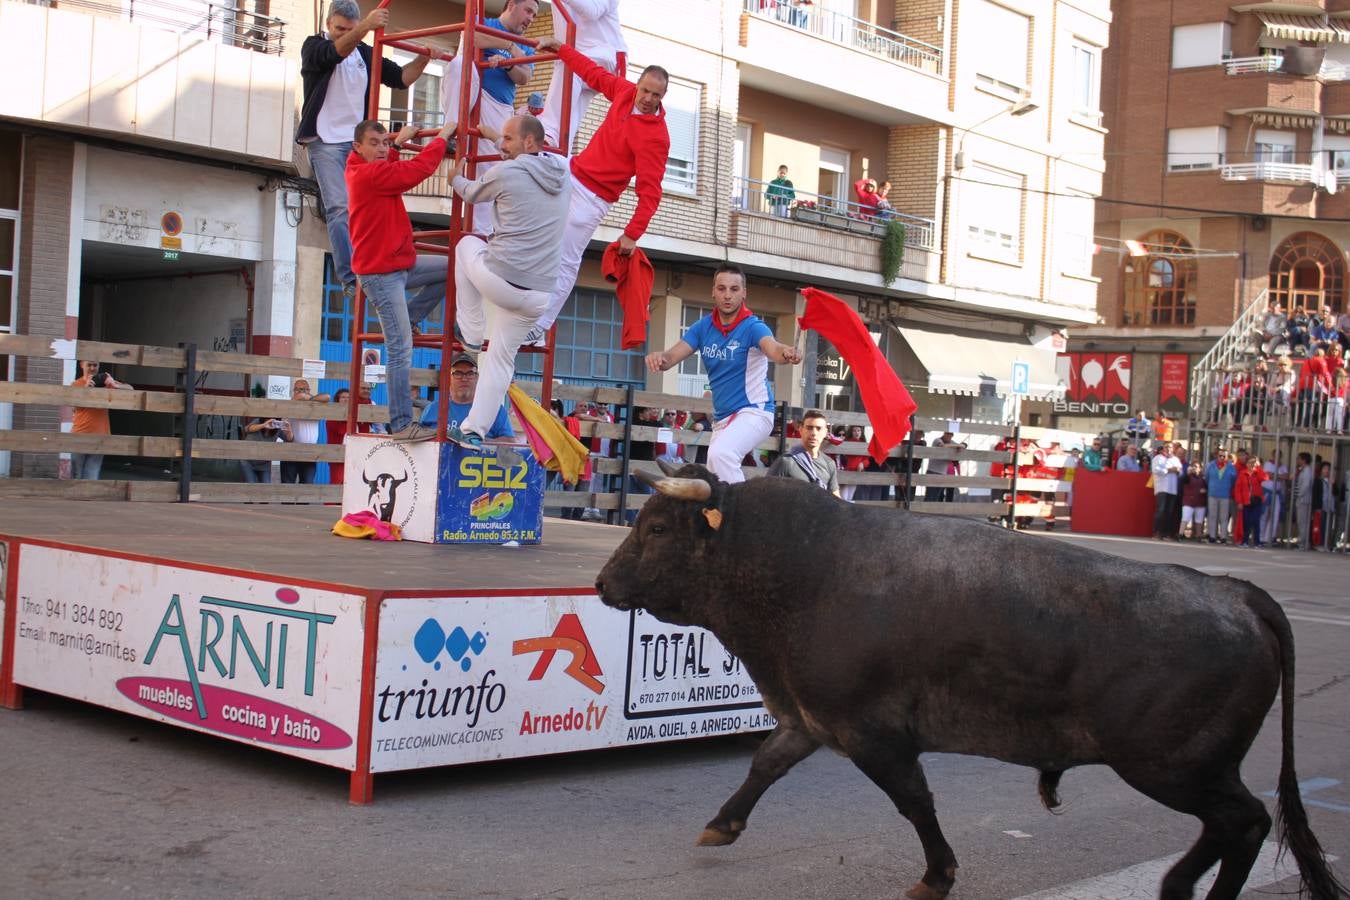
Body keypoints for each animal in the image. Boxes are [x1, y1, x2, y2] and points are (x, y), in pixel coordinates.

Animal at [596, 464, 1344, 900]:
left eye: (656, 527)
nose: (602, 584)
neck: (798, 565)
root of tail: (1234, 591)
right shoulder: (813, 719)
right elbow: (764, 766)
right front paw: (722, 825)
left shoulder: (873, 734)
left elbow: (915, 803)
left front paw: (937, 875)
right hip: (1188, 769)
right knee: (1236, 828)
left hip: (1173, 766)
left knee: (1245, 823)